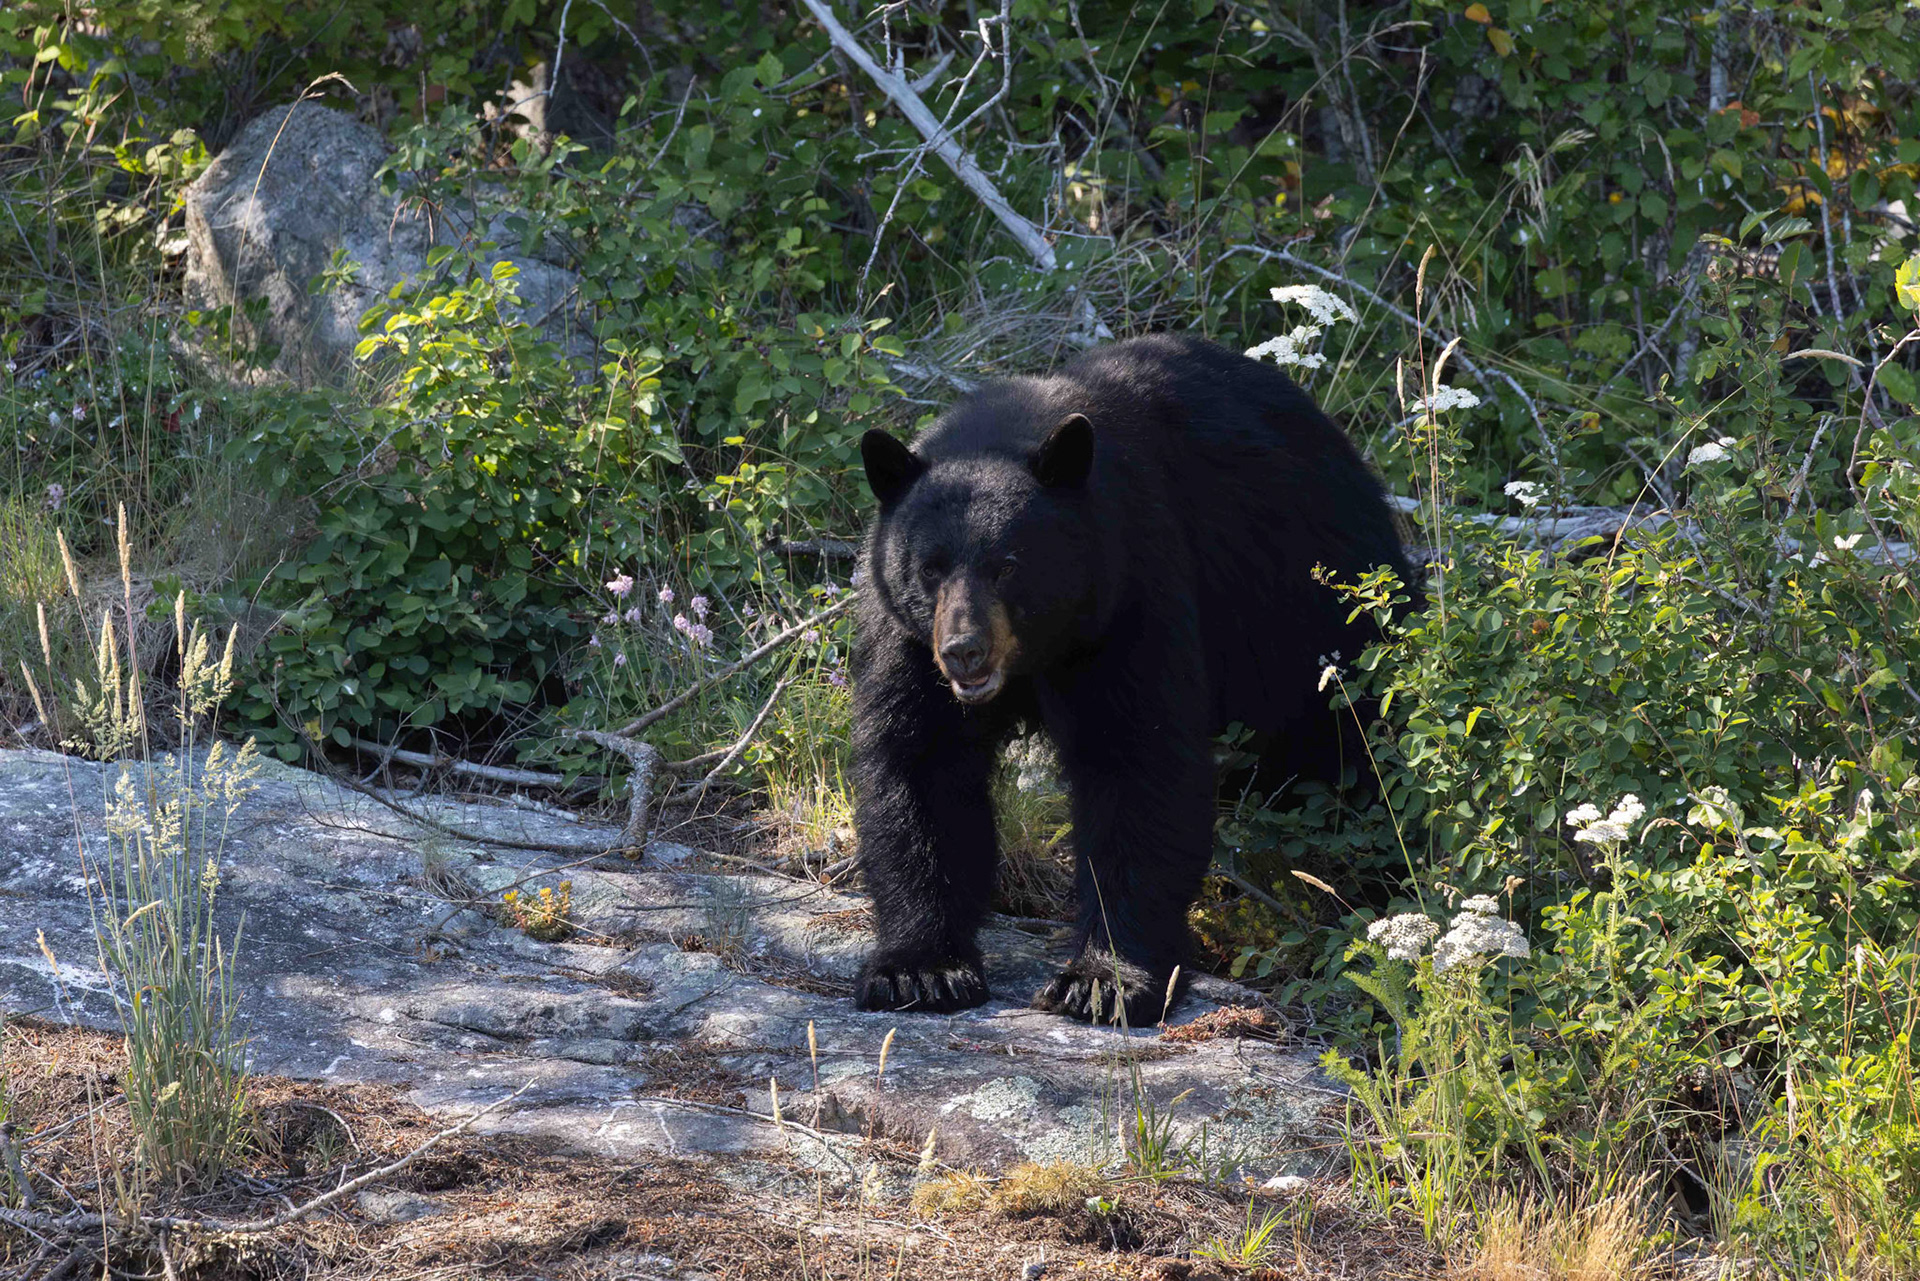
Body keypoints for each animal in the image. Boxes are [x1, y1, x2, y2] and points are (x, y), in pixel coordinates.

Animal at [850, 333, 1418, 1026]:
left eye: (1008, 564)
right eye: (929, 568)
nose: (963, 651)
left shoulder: (1130, 590)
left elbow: (1137, 760)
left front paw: (1103, 980)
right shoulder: (909, 639)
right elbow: (921, 764)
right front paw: (920, 969)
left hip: (1315, 607)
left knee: (1351, 749)